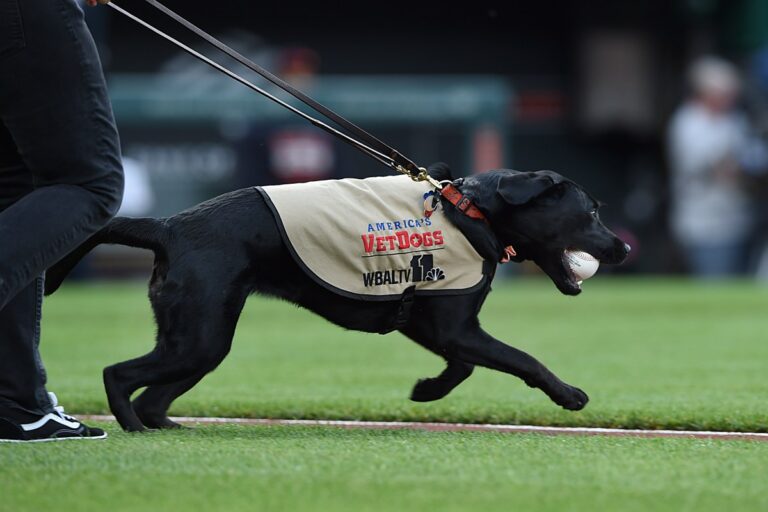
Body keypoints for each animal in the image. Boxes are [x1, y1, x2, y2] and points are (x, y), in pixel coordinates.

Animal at [45, 165, 628, 432]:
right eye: (591, 213)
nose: (623, 247)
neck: (470, 212)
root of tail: (168, 225)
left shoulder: (433, 323)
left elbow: (462, 366)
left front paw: (427, 390)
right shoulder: (455, 326)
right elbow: (521, 358)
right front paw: (568, 394)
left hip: (200, 338)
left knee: (153, 391)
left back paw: (161, 426)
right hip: (200, 334)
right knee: (117, 375)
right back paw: (131, 427)